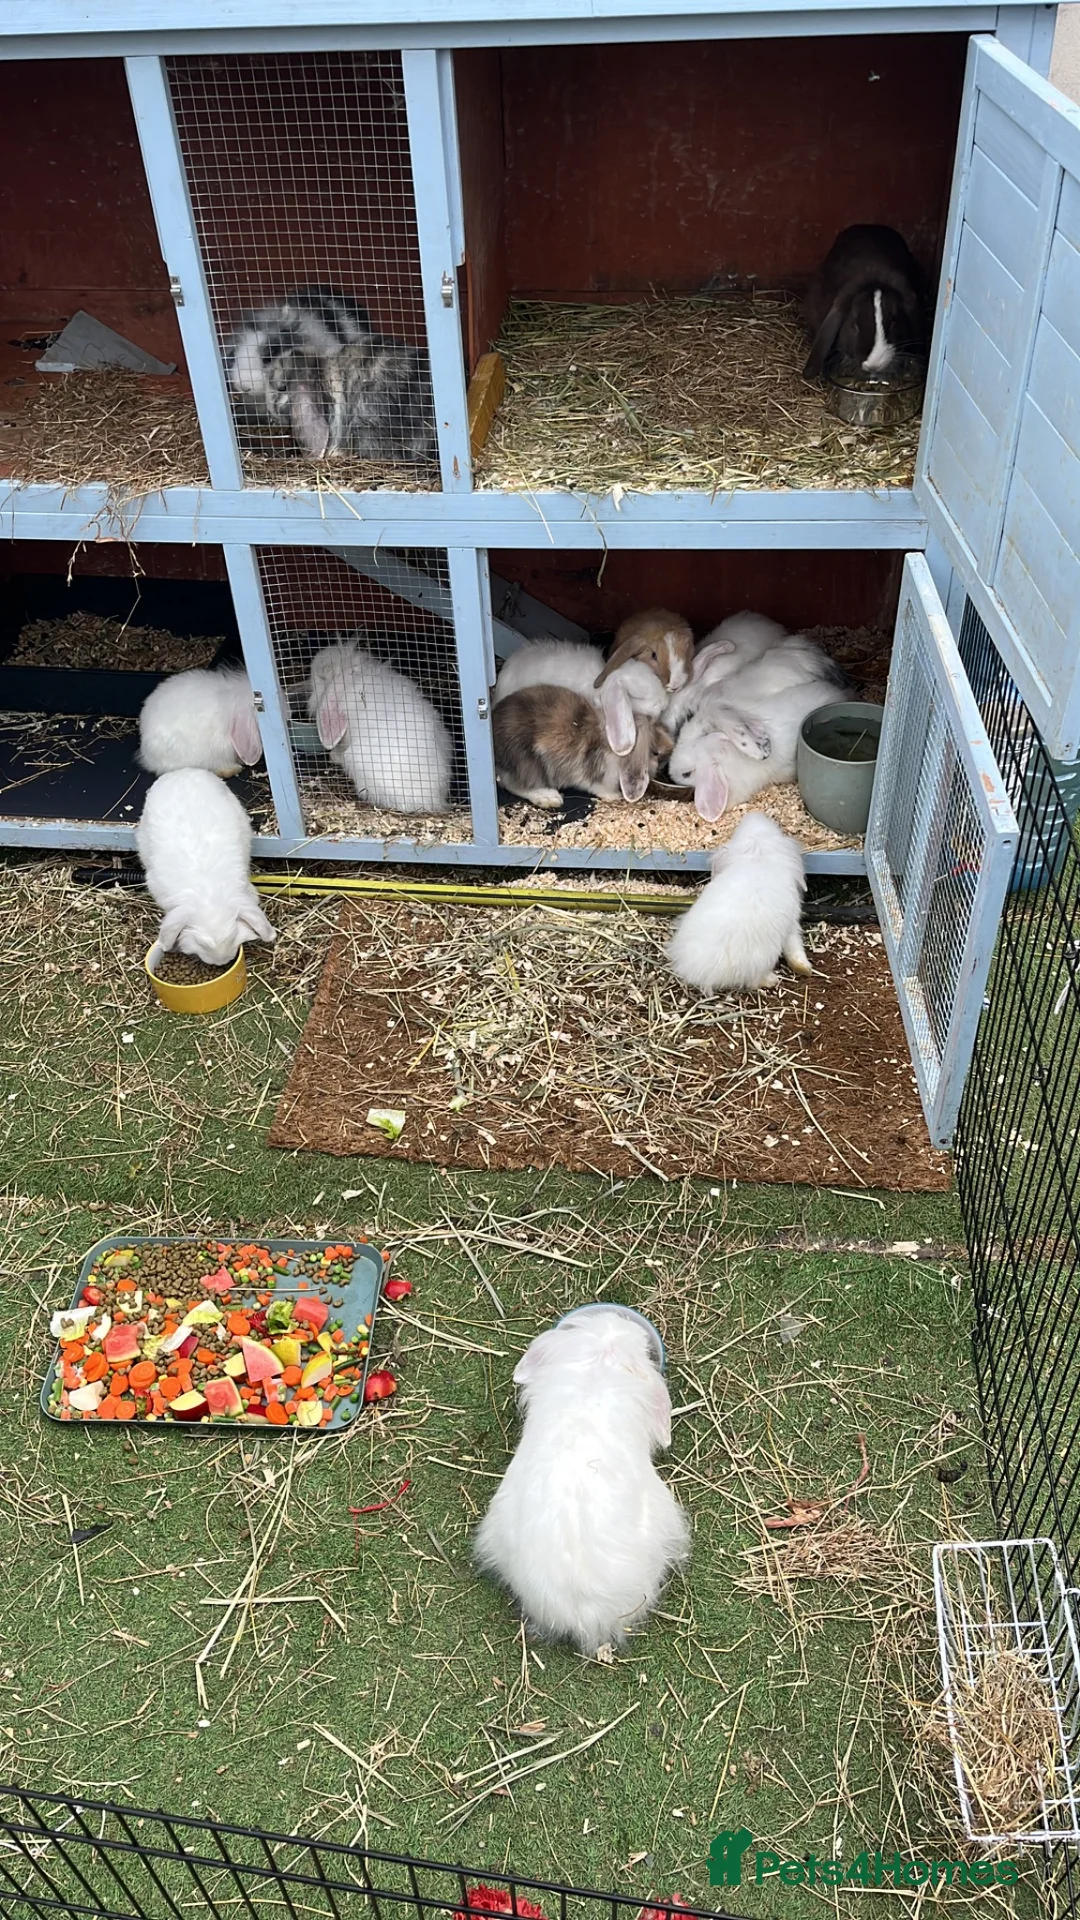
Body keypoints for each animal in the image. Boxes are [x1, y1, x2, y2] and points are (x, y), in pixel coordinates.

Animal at [493, 685, 672, 808]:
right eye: (655, 752)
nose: (663, 765)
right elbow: (597, 786)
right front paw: (614, 796)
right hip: (526, 762)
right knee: (515, 784)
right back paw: (549, 797)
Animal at [666, 811, 811, 993]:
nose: (754, 815)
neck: (757, 857)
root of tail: (702, 970)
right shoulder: (791, 924)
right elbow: (794, 945)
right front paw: (805, 968)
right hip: (762, 957)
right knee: (754, 981)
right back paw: (771, 980)